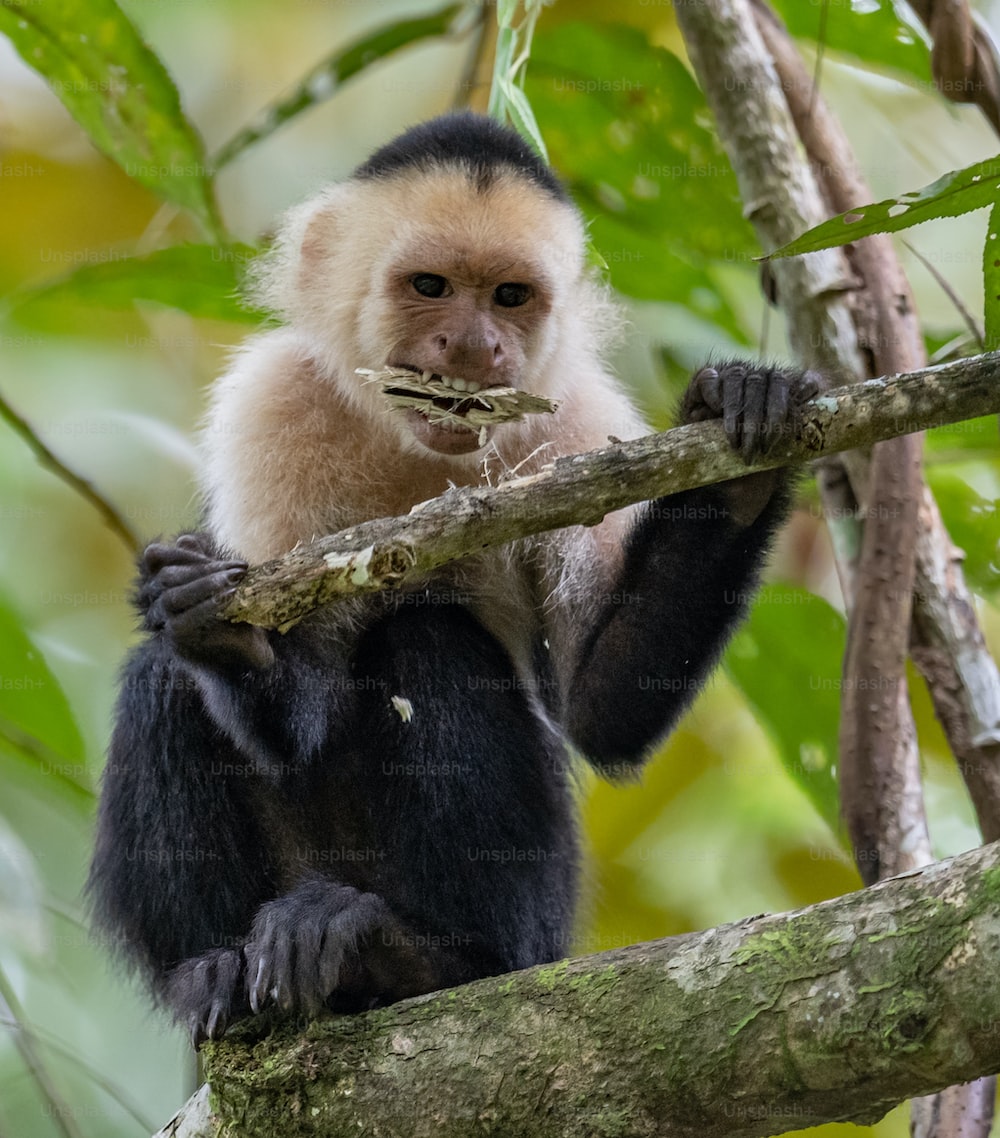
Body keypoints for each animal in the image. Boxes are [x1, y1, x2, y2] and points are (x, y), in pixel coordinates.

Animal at [88, 112, 815, 1047]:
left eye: (509, 297)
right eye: (430, 287)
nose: (474, 345)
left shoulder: (575, 422)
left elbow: (603, 709)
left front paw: (739, 451)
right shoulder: (272, 404)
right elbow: (289, 704)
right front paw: (219, 626)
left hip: (540, 916)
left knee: (429, 638)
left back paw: (421, 959)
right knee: (164, 679)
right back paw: (213, 973)